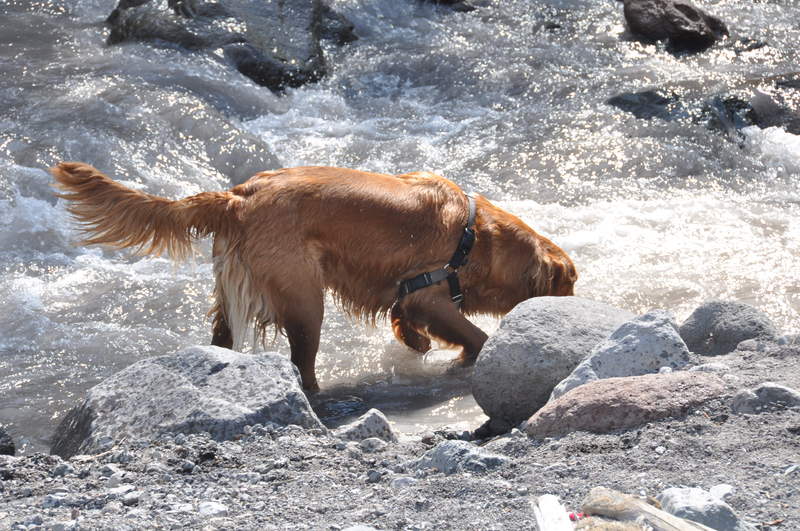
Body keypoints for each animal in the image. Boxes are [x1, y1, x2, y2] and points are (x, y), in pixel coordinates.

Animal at [52, 162, 577, 391]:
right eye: (569, 285)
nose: (579, 304)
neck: (474, 235)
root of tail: (237, 196)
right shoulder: (429, 291)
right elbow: (474, 335)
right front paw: (462, 359)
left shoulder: (407, 295)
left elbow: (408, 322)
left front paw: (419, 344)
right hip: (305, 299)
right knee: (301, 361)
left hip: (231, 296)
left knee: (223, 340)